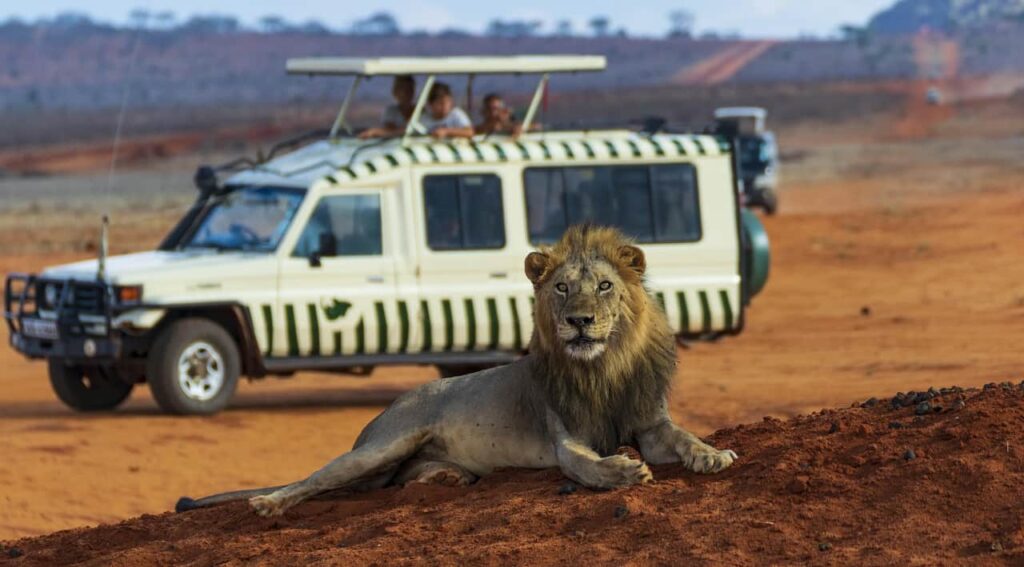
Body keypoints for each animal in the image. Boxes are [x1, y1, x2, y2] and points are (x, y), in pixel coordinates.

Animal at [176, 223, 737, 513]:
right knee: (320, 479)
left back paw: (443, 477)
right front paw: (622, 469)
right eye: (561, 288)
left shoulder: (650, 422)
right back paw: (268, 502)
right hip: (386, 443)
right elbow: (584, 465)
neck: (604, 368)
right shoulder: (565, 438)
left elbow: (683, 436)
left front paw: (713, 455)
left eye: (603, 286)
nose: (578, 321)